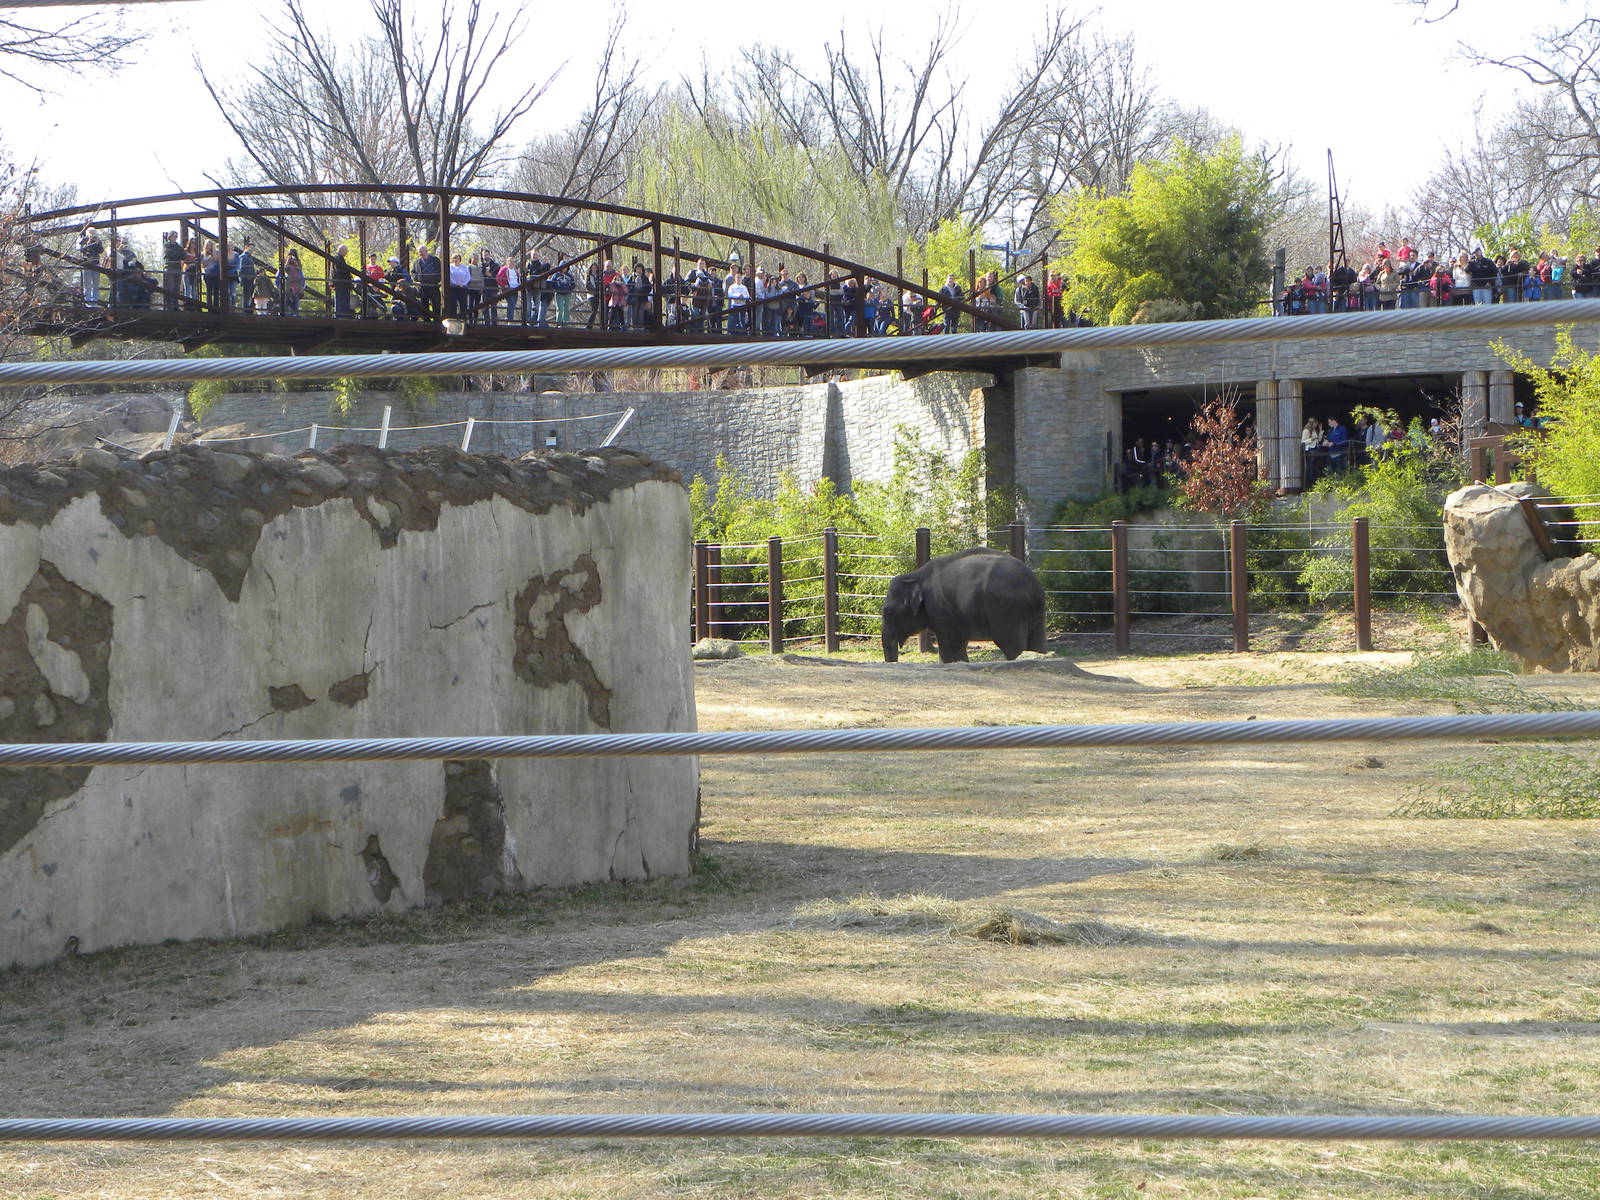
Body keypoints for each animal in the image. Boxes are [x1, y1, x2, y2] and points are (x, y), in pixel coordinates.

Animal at [881, 546, 1047, 663]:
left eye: (888, 612)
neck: (916, 575)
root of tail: (1033, 586)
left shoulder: (940, 608)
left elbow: (950, 645)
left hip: (1007, 609)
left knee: (1011, 645)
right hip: (1036, 614)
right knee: (1036, 643)